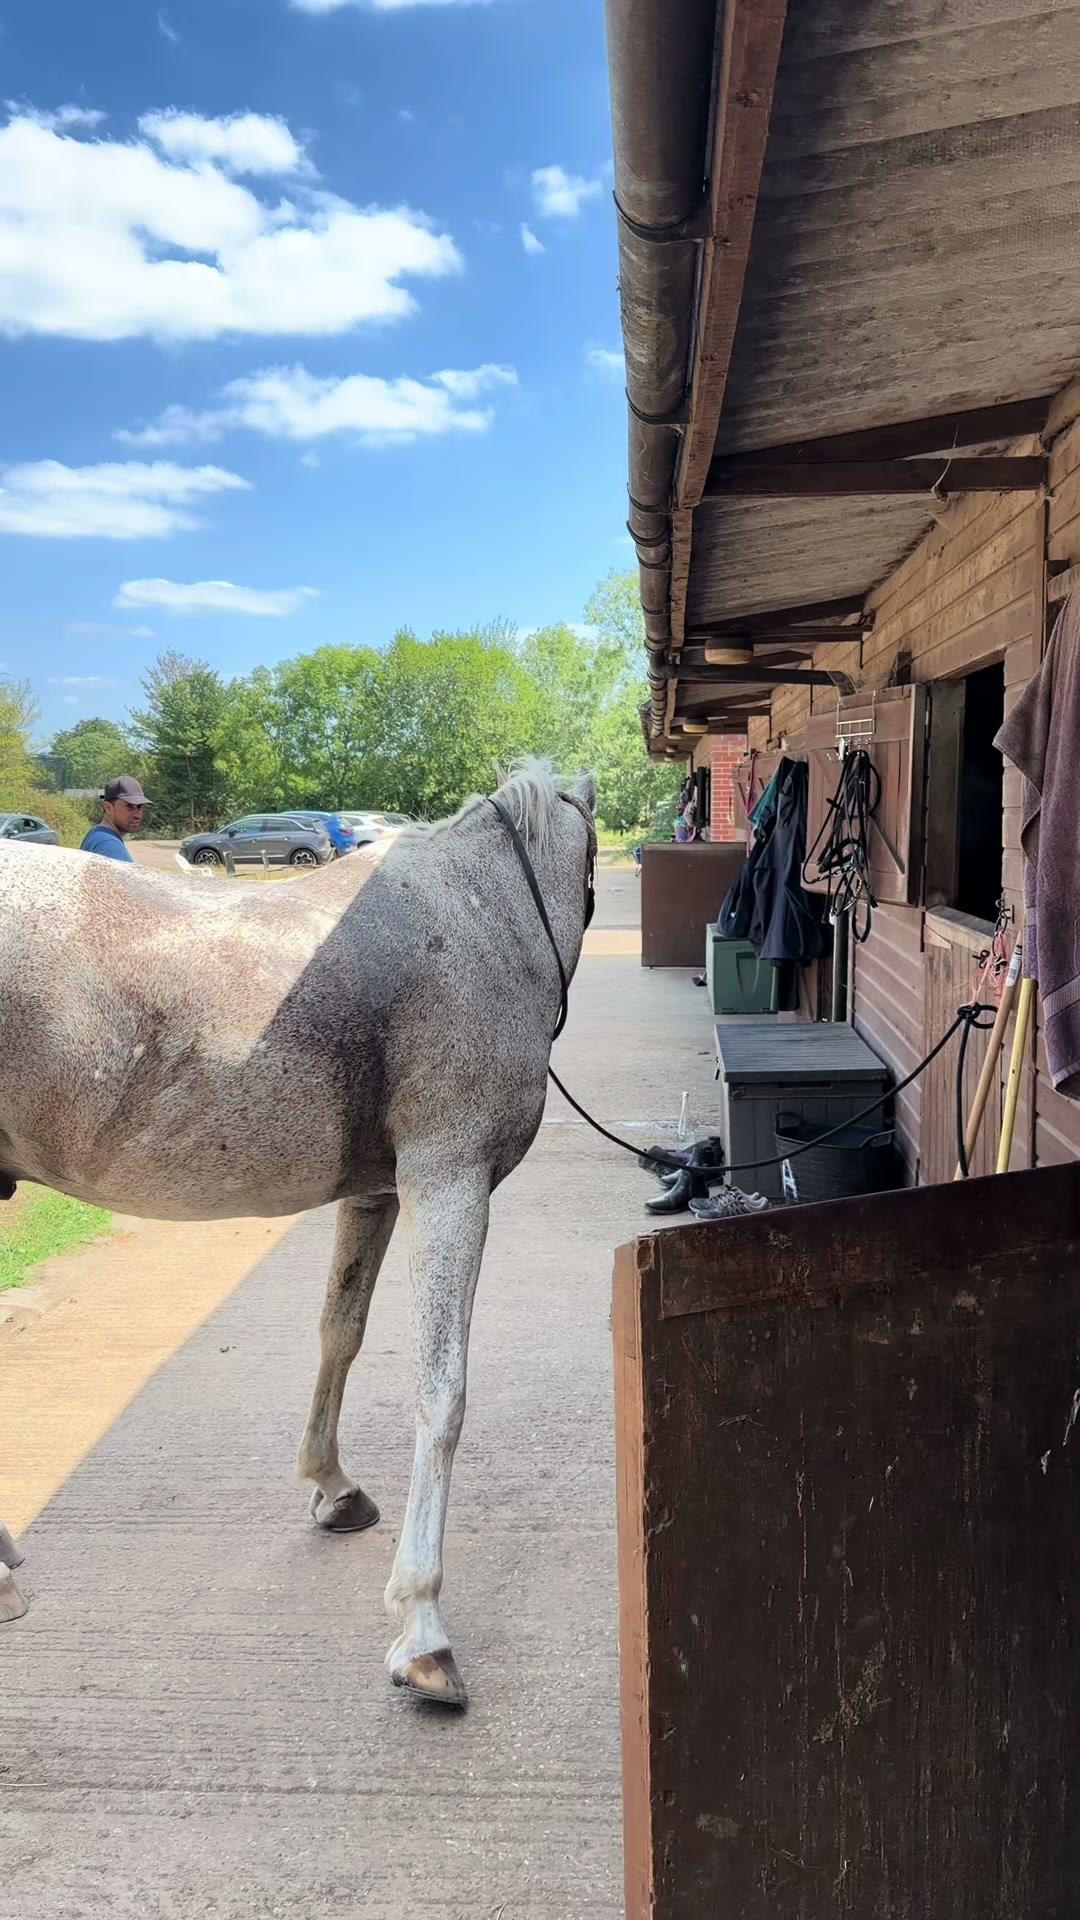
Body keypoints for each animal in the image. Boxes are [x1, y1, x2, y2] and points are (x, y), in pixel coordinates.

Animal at [0, 762, 597, 1709]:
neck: (482, 912)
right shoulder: (450, 1182)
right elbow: (443, 1391)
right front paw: (422, 1629)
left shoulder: (380, 1194)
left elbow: (340, 1333)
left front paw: (332, 1488)